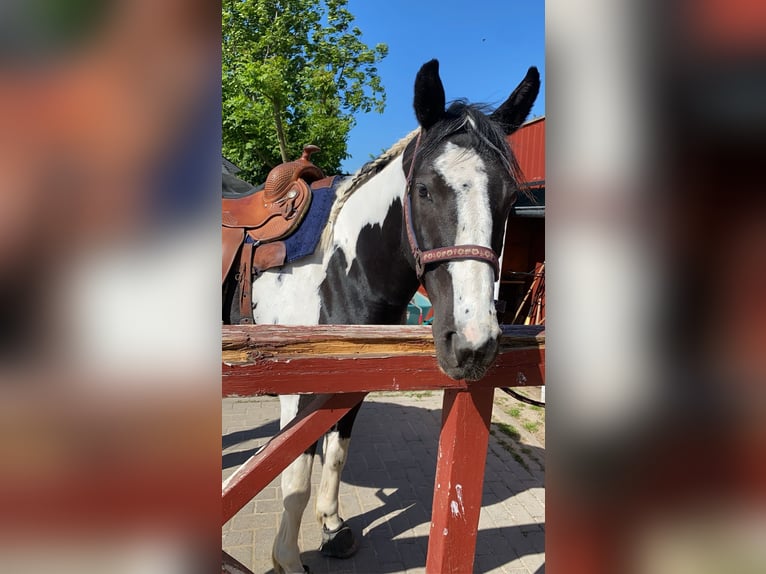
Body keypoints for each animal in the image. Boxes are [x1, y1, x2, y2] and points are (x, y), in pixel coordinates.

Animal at [225, 59, 539, 573]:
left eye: (511, 198)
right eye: (424, 190)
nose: (473, 343)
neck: (339, 267)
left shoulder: (352, 379)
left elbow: (336, 452)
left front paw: (332, 526)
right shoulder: (297, 388)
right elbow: (294, 479)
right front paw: (288, 558)